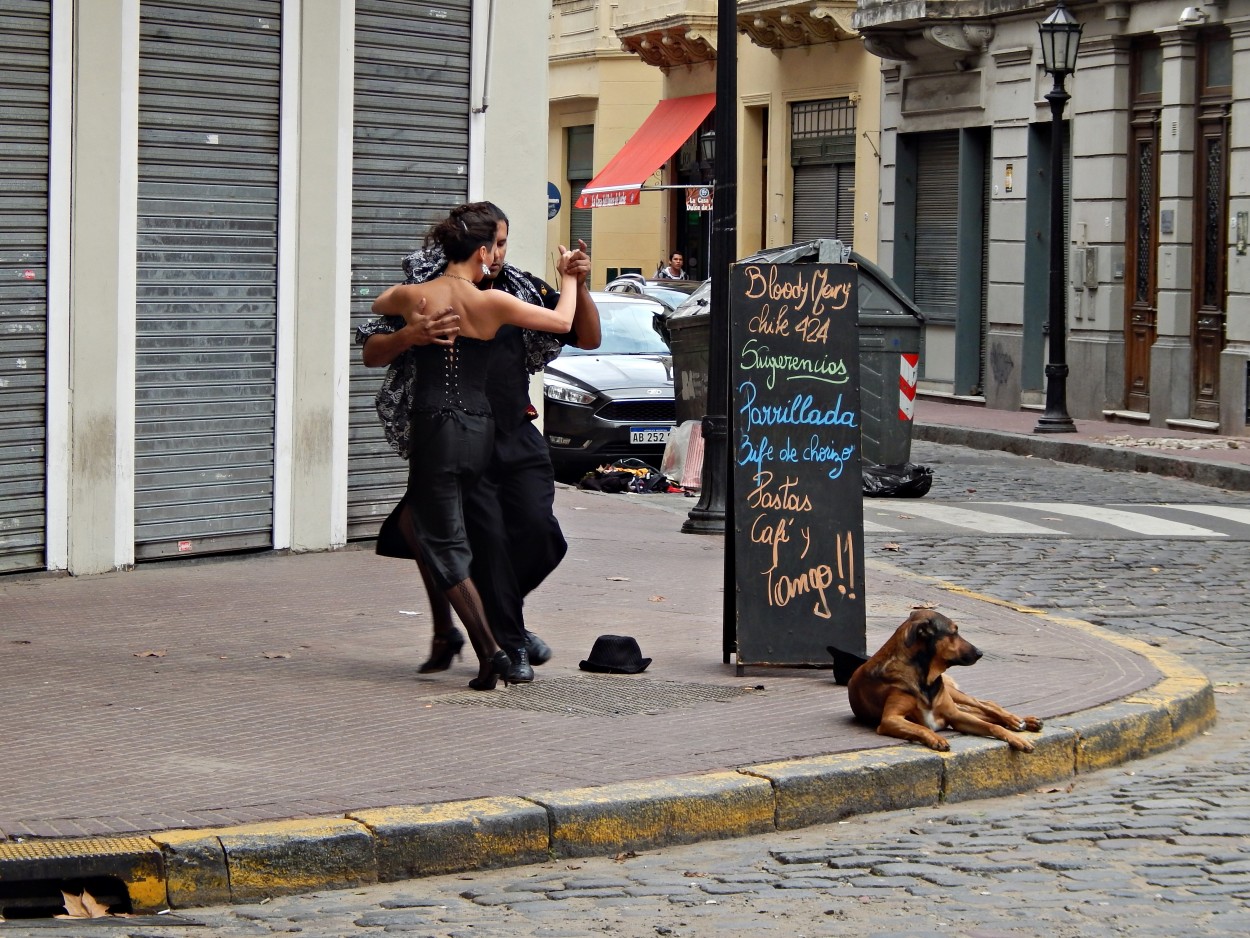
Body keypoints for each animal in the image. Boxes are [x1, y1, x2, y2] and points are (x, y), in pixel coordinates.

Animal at [850, 610, 1045, 755]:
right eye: (954, 632)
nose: (980, 653)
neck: (926, 679)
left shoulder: (955, 715)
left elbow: (993, 726)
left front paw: (1017, 739)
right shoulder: (891, 719)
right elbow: (922, 728)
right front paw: (936, 738)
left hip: (955, 695)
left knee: (986, 704)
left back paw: (1018, 720)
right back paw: (1026, 722)